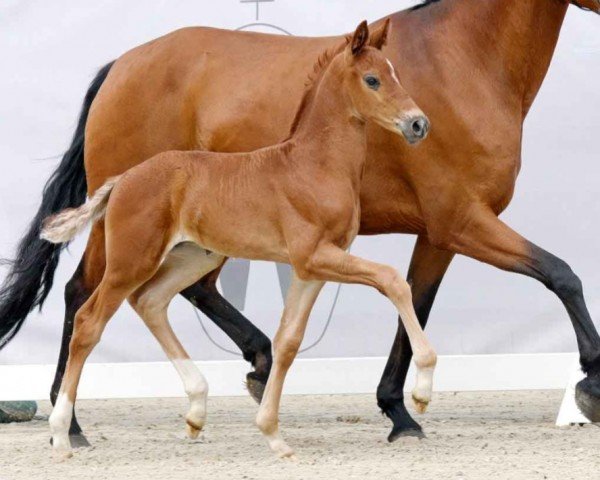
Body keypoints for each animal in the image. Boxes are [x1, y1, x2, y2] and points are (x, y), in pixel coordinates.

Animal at [43, 21, 436, 458]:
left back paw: (196, 410)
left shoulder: (313, 268)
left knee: (150, 301)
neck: (313, 166)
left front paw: (273, 435)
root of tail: (122, 180)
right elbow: (392, 280)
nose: (419, 124)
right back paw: (62, 433)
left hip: (193, 257)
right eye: (372, 79)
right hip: (131, 261)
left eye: (396, 73)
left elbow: (288, 341)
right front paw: (421, 392)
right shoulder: (314, 256)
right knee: (89, 321)